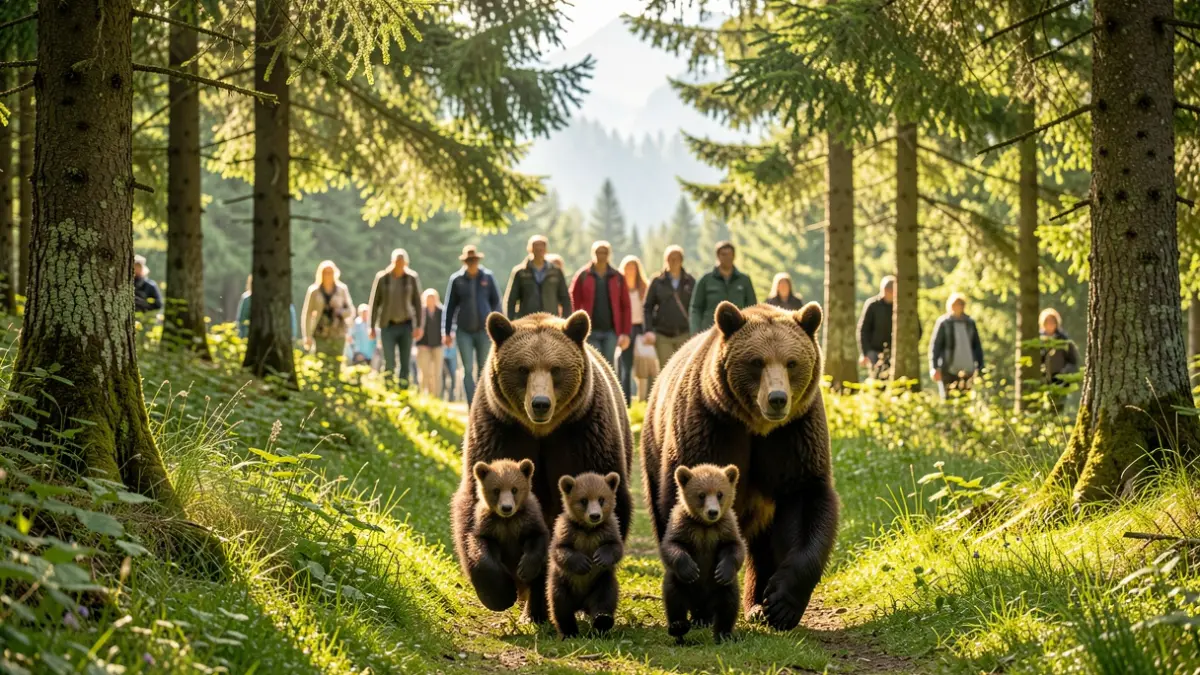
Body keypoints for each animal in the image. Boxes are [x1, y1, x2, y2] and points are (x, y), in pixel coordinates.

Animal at [458, 459, 550, 622]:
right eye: (496, 490)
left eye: (514, 489)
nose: (506, 508)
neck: (507, 521)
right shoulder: (489, 527)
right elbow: (483, 552)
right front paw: (504, 595)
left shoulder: (528, 522)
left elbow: (537, 540)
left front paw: (524, 569)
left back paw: (532, 616)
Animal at [548, 471, 624, 638]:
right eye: (583, 500)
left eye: (601, 499)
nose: (595, 516)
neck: (588, 530)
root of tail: (581, 604)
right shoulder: (567, 530)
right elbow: (559, 550)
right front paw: (583, 563)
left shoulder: (608, 529)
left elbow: (616, 547)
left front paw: (600, 557)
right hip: (562, 583)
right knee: (560, 606)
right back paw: (569, 632)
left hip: (601, 582)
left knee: (604, 599)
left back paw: (602, 621)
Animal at [661, 463, 746, 643]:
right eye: (701, 495)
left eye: (720, 493)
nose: (712, 512)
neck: (705, 525)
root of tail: (701, 607)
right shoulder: (683, 524)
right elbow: (671, 545)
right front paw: (691, 570)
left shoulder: (725, 528)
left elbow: (736, 547)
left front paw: (722, 571)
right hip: (683, 586)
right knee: (674, 596)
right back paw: (679, 626)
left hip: (718, 589)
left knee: (729, 601)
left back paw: (723, 633)